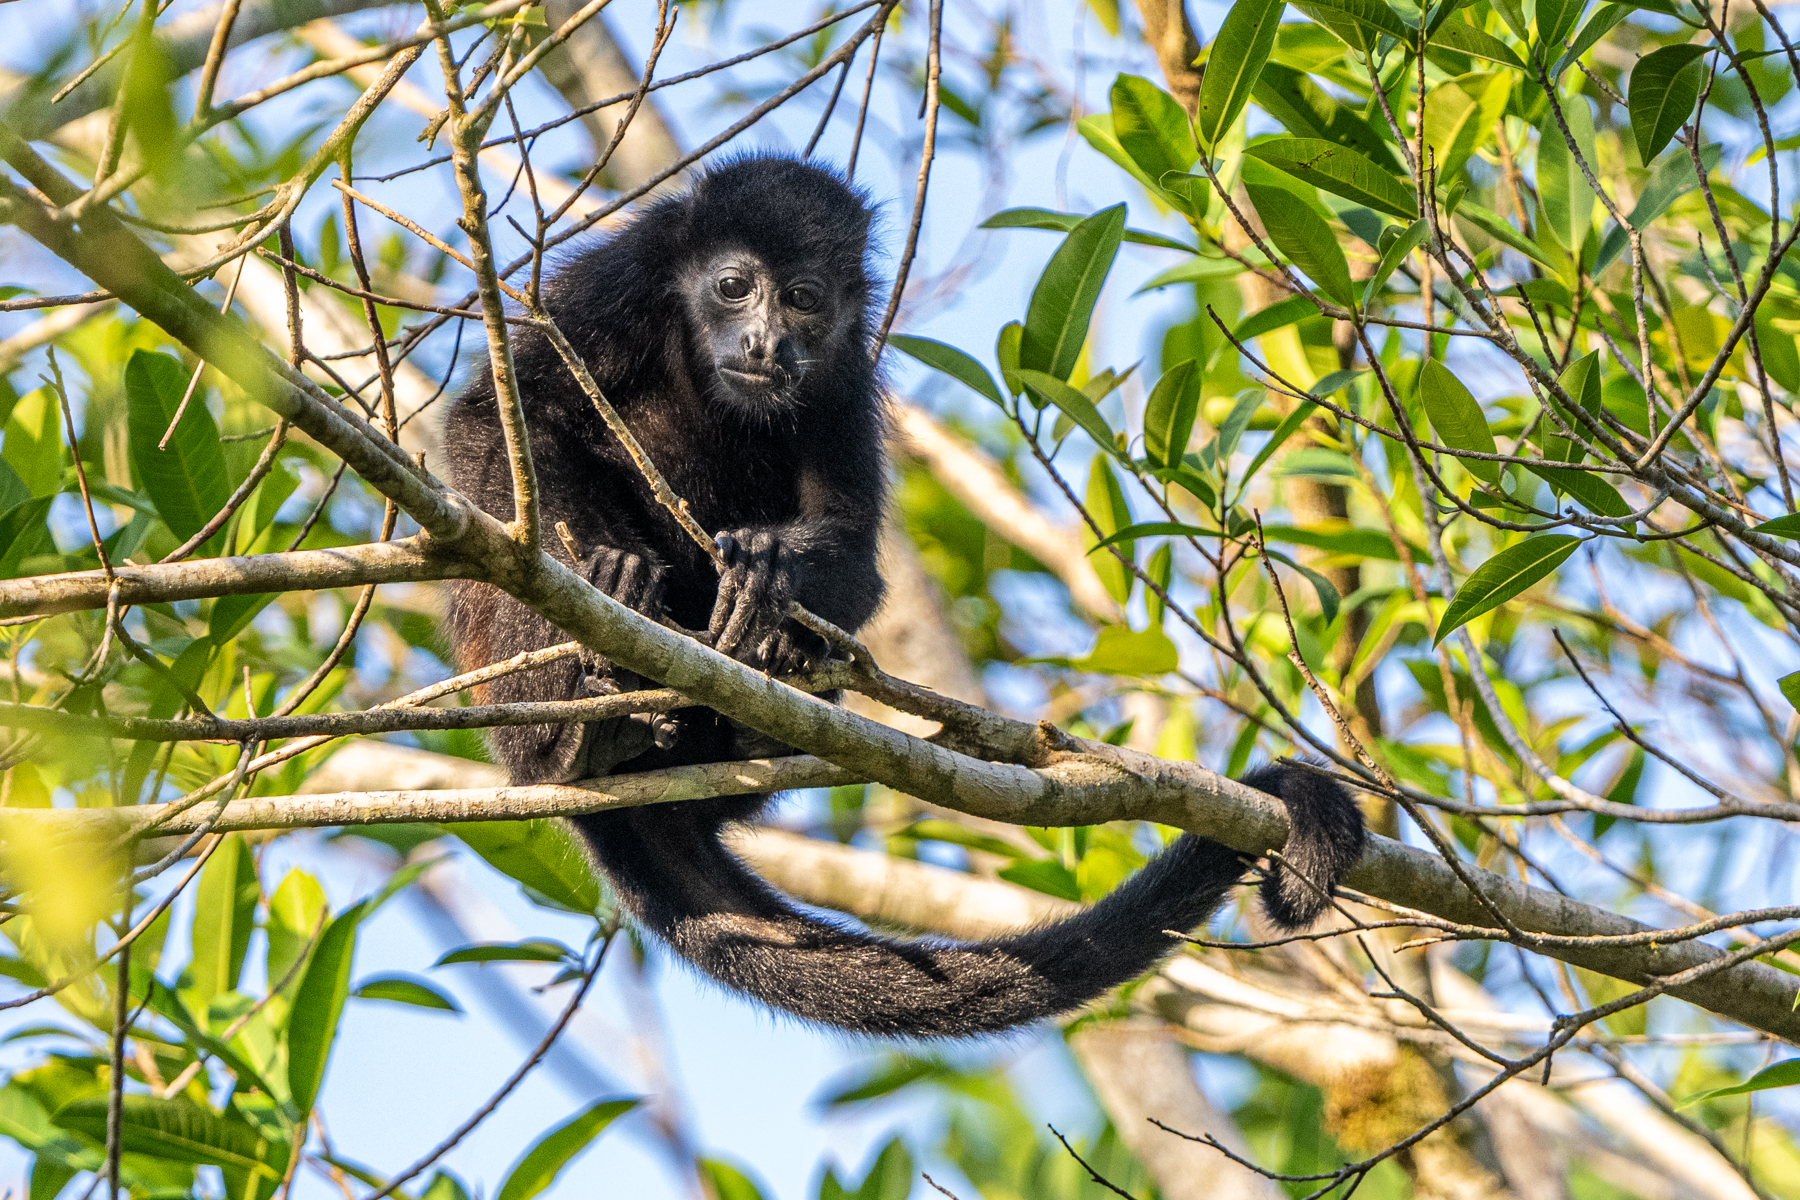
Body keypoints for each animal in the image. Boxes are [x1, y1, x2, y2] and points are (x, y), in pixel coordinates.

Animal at [441, 155, 1367, 1038]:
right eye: (734, 285)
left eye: (804, 299)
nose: (767, 341)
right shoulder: (621, 281)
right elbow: (494, 418)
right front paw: (613, 562)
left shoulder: (846, 368)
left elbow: (854, 549)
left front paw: (773, 577)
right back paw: (574, 736)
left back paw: (757, 695)